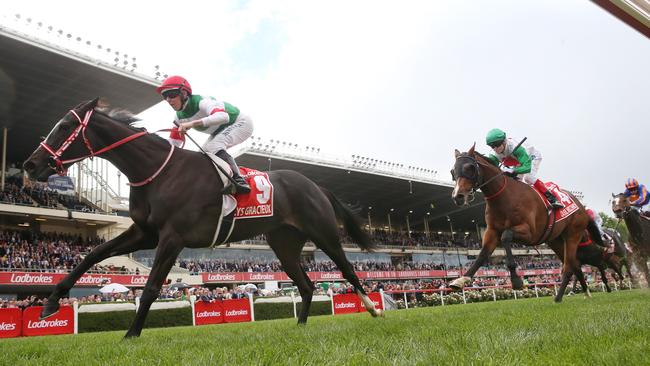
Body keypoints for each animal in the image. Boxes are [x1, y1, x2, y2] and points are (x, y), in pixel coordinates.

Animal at [22, 98, 382, 338]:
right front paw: (51, 302)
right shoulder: (145, 232)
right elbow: (93, 254)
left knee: (347, 269)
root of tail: (315, 184)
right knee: (306, 285)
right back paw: (301, 324)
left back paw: (372, 307)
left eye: (65, 127)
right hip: (284, 244)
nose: (30, 164)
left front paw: (131, 334)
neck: (158, 172)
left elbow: (151, 286)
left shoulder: (172, 237)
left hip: (324, 233)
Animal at [446, 144, 604, 302]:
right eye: (453, 171)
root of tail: (582, 206)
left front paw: (516, 280)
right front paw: (461, 280)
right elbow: (482, 255)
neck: (505, 197)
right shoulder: (492, 231)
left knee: (569, 266)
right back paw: (584, 292)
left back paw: (559, 297)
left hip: (573, 234)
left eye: (470, 167)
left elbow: (506, 236)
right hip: (555, 240)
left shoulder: (530, 233)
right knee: (575, 265)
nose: (457, 196)